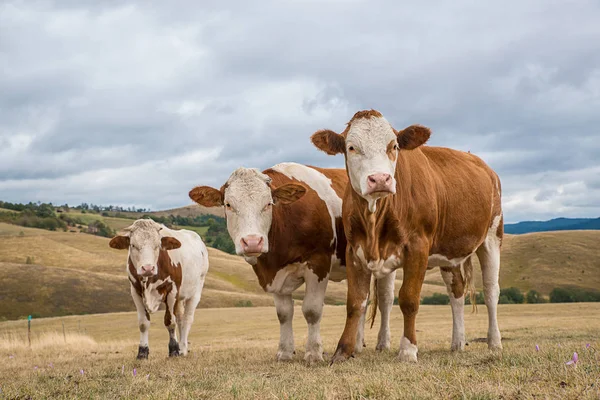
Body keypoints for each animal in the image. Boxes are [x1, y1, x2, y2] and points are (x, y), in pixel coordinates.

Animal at [108, 219, 209, 360]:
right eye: (133, 245)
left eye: (158, 245)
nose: (148, 268)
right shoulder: (135, 291)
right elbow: (143, 323)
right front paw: (142, 352)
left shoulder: (172, 290)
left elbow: (170, 321)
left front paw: (173, 350)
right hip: (180, 297)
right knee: (180, 318)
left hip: (196, 292)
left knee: (187, 319)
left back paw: (182, 348)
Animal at [188, 164, 394, 364]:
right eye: (228, 205)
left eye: (268, 204)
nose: (253, 242)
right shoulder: (274, 274)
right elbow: (284, 313)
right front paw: (285, 352)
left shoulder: (318, 263)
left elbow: (312, 310)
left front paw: (313, 353)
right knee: (363, 298)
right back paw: (357, 346)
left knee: (385, 300)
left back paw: (383, 343)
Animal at [312, 109, 504, 362]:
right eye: (351, 147)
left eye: (393, 146)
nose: (380, 179)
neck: (376, 217)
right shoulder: (354, 250)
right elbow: (356, 302)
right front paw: (342, 352)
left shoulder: (418, 247)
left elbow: (409, 299)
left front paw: (408, 350)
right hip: (450, 252)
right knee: (456, 292)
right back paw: (457, 342)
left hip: (492, 236)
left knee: (491, 291)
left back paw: (494, 342)